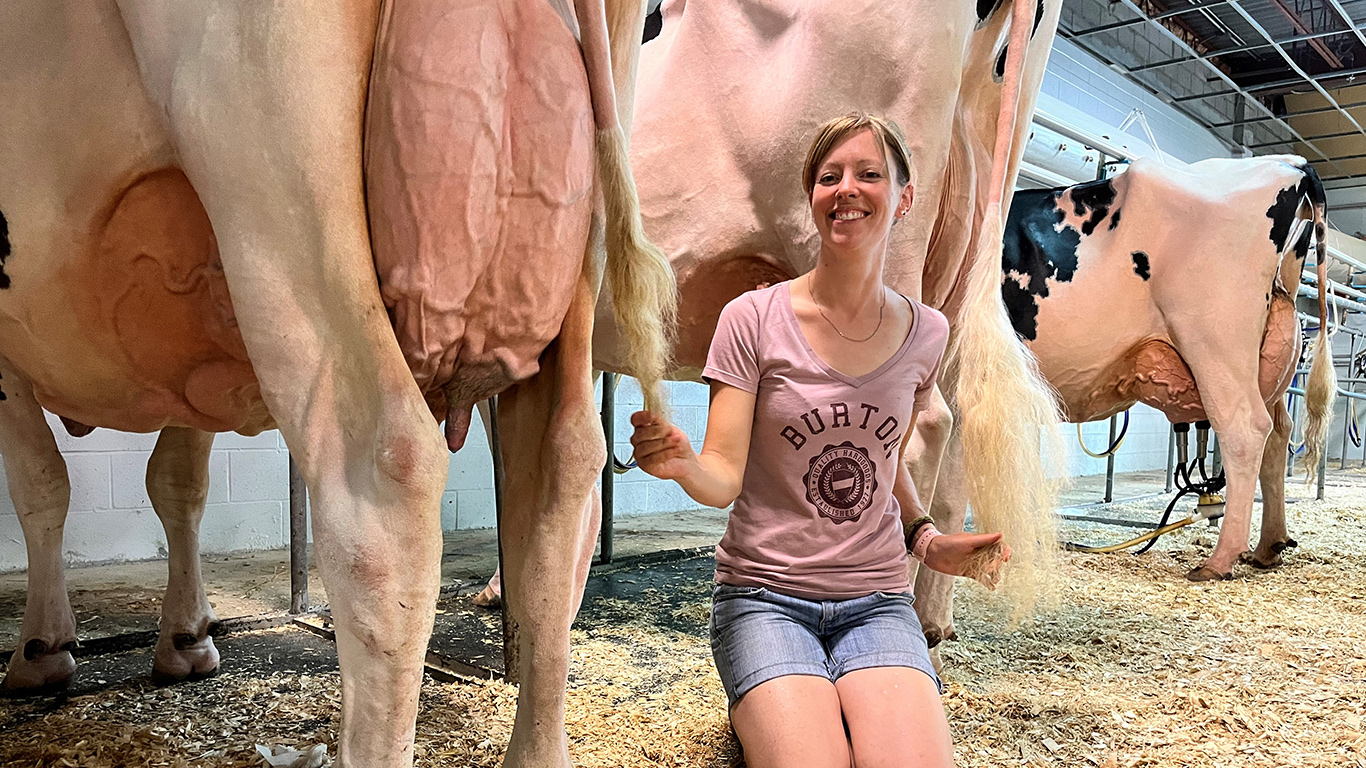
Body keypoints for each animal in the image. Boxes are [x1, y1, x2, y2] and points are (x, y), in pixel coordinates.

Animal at [0, 1, 672, 765]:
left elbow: (42, 485)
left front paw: (42, 649)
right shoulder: (190, 358)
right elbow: (178, 483)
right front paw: (186, 638)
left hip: (279, 192)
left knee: (384, 480)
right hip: (578, 275)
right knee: (561, 477)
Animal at [907, 152, 1333, 647]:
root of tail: (1291, 162)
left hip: (1215, 339)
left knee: (1245, 431)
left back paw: (1219, 560)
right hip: (1270, 357)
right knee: (1278, 434)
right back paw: (1267, 547)